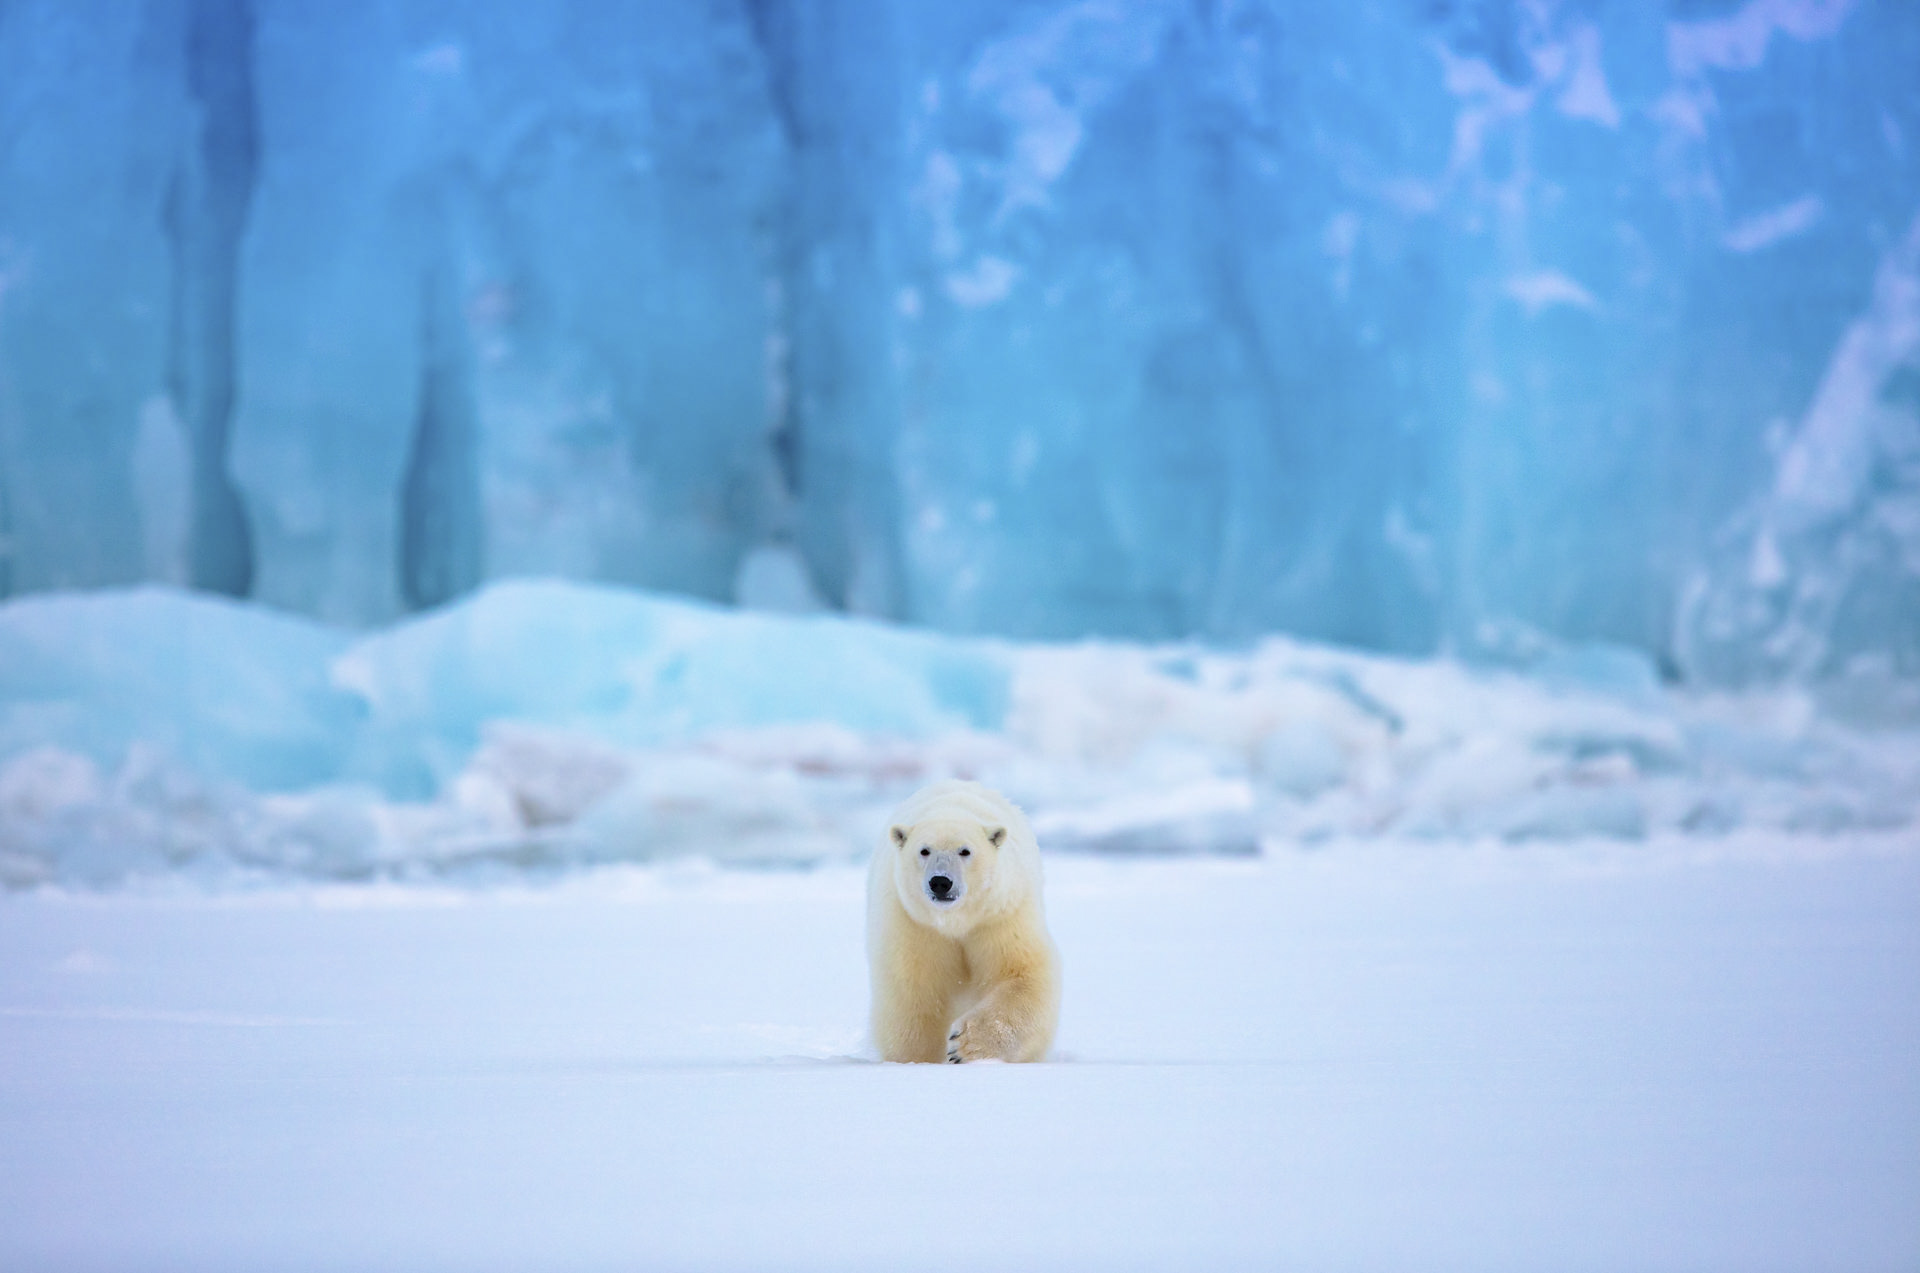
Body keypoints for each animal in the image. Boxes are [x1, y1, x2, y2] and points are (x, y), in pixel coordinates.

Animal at [871, 775, 1067, 1067]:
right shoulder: (915, 924)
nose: (941, 882)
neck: (957, 920)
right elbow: (915, 990)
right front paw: (916, 1060)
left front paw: (962, 1046)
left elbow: (1023, 973)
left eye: (965, 851)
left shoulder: (999, 916)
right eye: (924, 850)